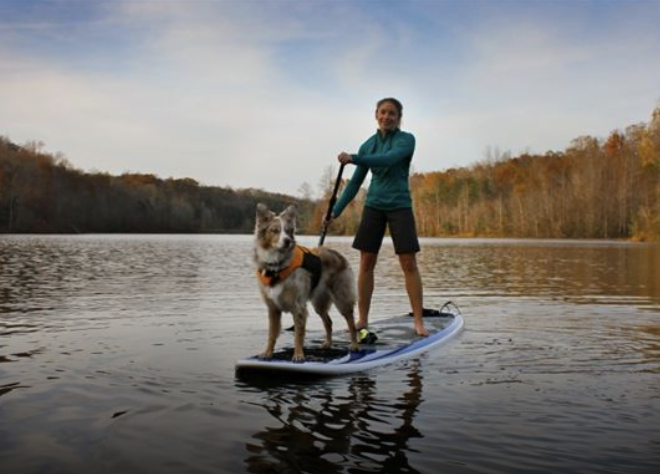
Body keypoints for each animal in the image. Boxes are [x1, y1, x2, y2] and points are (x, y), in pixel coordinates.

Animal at [253, 202, 358, 362]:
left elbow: (298, 334)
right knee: (328, 322)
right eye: (275, 231)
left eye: (288, 231)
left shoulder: (299, 307)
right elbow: (272, 334)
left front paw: (298, 354)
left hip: (342, 299)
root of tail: (338, 254)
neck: (277, 266)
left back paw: (354, 345)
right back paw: (327, 344)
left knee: (351, 321)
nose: (288, 241)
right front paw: (268, 353)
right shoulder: (273, 308)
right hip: (319, 303)